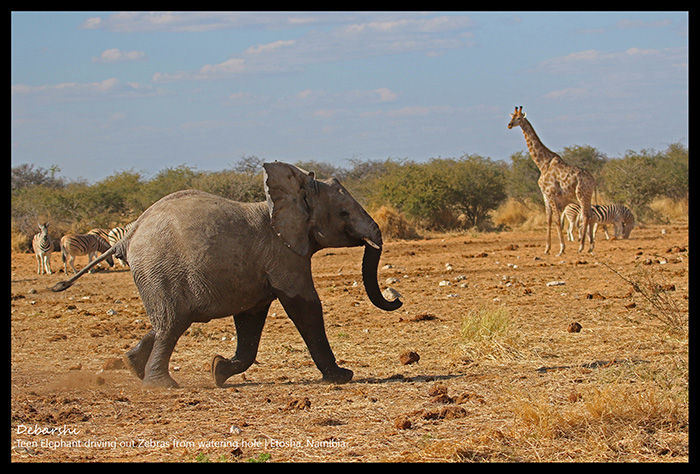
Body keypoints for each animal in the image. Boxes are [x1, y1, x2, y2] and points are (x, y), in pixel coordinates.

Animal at [52, 161, 402, 386]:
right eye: (343, 213)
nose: (396, 297)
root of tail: (129, 233)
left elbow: (251, 319)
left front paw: (218, 370)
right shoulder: (285, 254)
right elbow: (305, 306)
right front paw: (343, 377)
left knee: (168, 319)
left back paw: (132, 366)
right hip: (159, 269)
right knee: (171, 323)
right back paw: (162, 385)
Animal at [508, 106, 596, 256]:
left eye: (519, 118)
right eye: (512, 117)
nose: (509, 125)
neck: (543, 163)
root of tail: (593, 179)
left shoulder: (551, 194)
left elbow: (557, 220)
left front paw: (561, 249)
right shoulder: (545, 195)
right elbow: (548, 220)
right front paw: (546, 249)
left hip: (581, 194)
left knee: (585, 216)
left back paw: (581, 247)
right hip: (587, 195)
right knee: (590, 215)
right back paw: (590, 246)